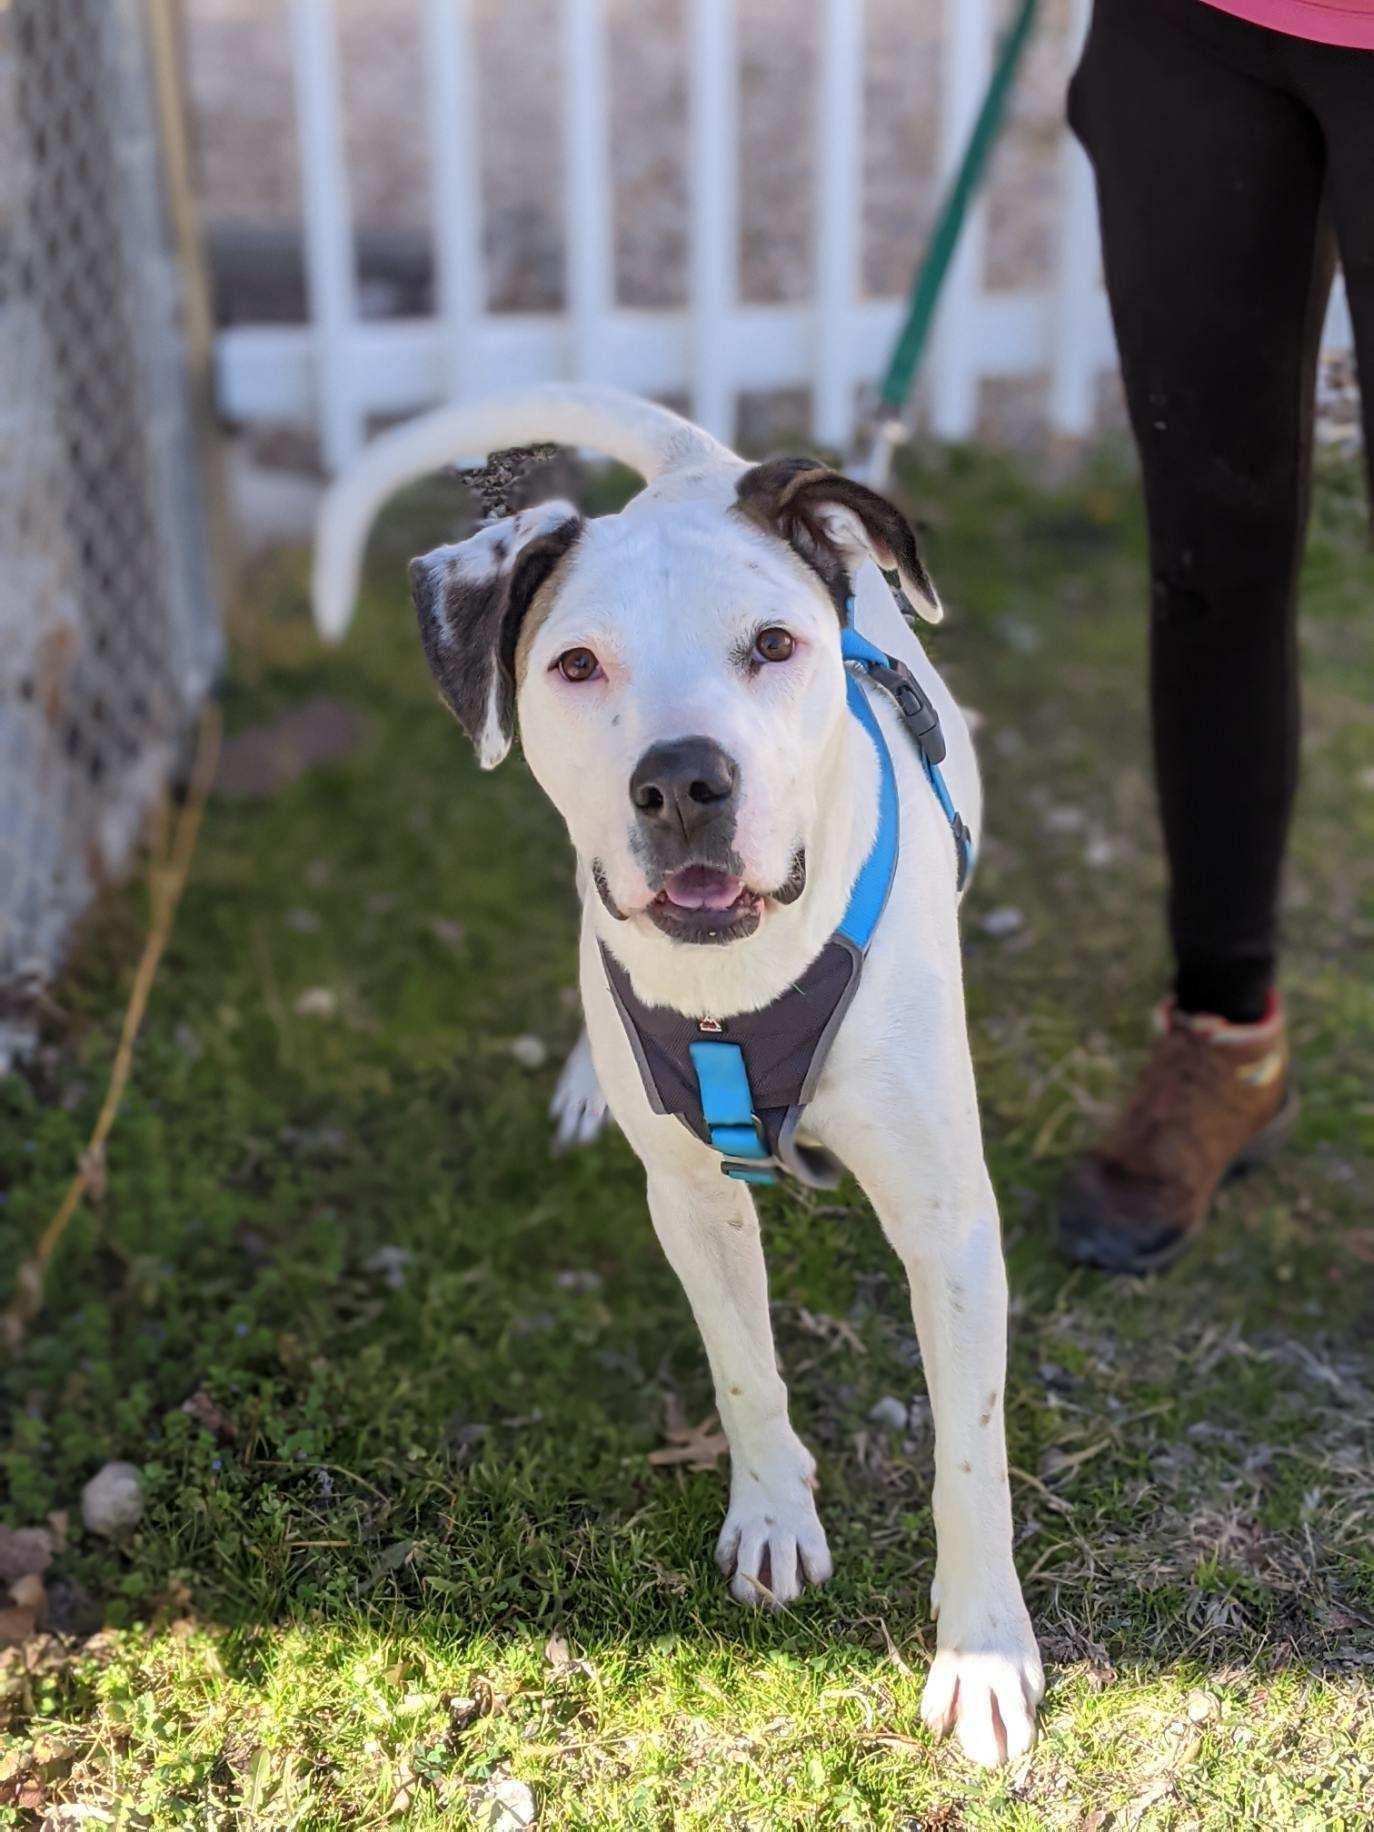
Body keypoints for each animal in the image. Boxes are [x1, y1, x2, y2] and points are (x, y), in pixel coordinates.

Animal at [315, 382, 1040, 1758]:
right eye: (576, 664)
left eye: (773, 644)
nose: (682, 781)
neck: (739, 982)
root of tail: (701, 466)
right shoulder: (692, 1202)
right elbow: (743, 1367)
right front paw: (773, 1514)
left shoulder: (950, 1225)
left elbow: (969, 1455)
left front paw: (981, 1650)